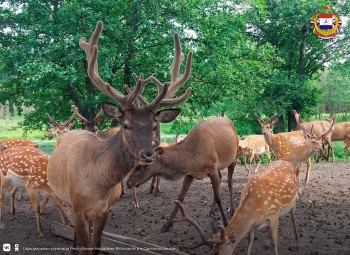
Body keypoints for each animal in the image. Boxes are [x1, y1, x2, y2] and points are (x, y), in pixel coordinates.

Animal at [46, 20, 191, 254]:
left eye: (154, 126)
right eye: (125, 124)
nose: (148, 154)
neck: (98, 184)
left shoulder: (104, 211)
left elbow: (95, 246)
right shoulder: (78, 210)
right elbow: (86, 247)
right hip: (62, 195)